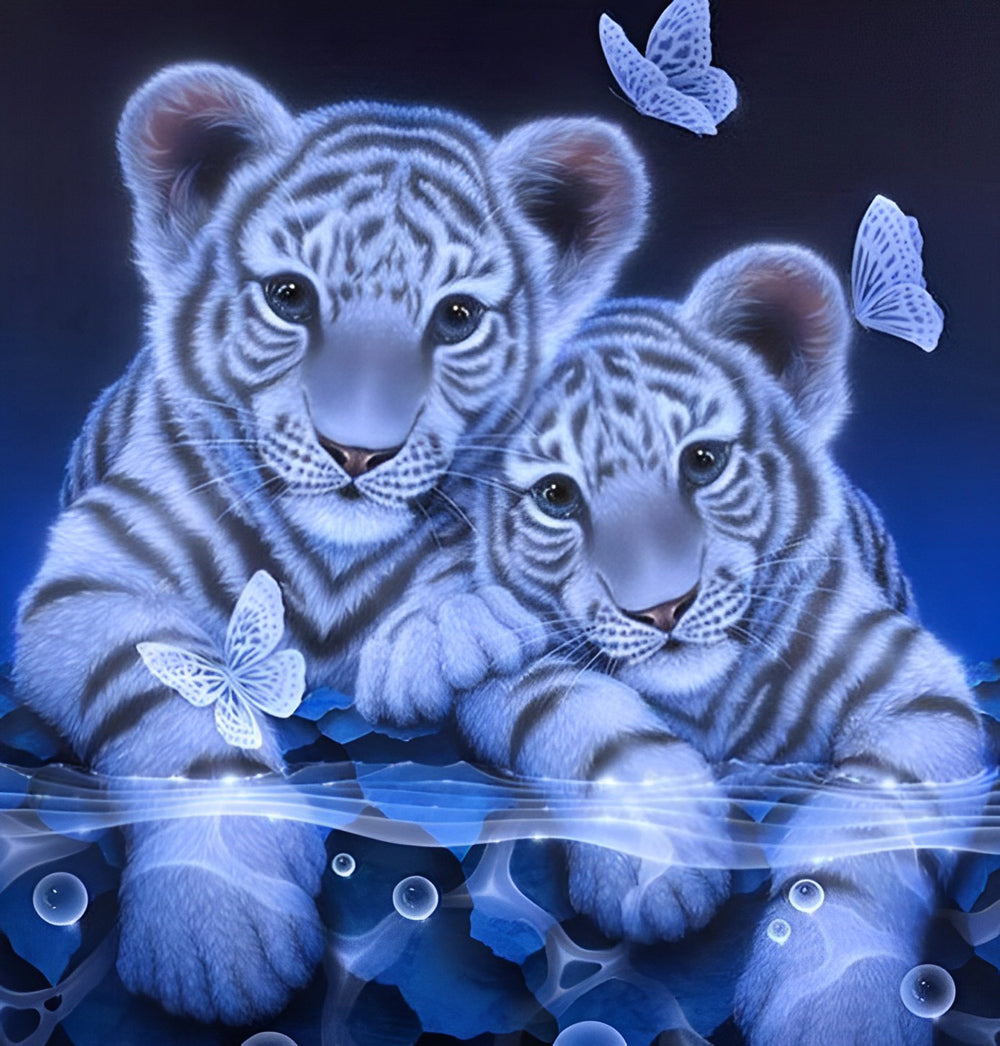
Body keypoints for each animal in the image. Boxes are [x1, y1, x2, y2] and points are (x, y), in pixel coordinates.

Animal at [12, 62, 649, 1024]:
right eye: (290, 297)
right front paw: (217, 926)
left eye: (456, 316)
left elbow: (568, 697)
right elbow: (179, 702)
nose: (358, 450)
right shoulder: (90, 583)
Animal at [359, 243, 987, 1044]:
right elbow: (582, 714)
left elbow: (870, 828)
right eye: (556, 496)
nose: (662, 608)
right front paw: (657, 867)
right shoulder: (522, 672)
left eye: (703, 462)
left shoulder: (915, 687)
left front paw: (834, 1004)